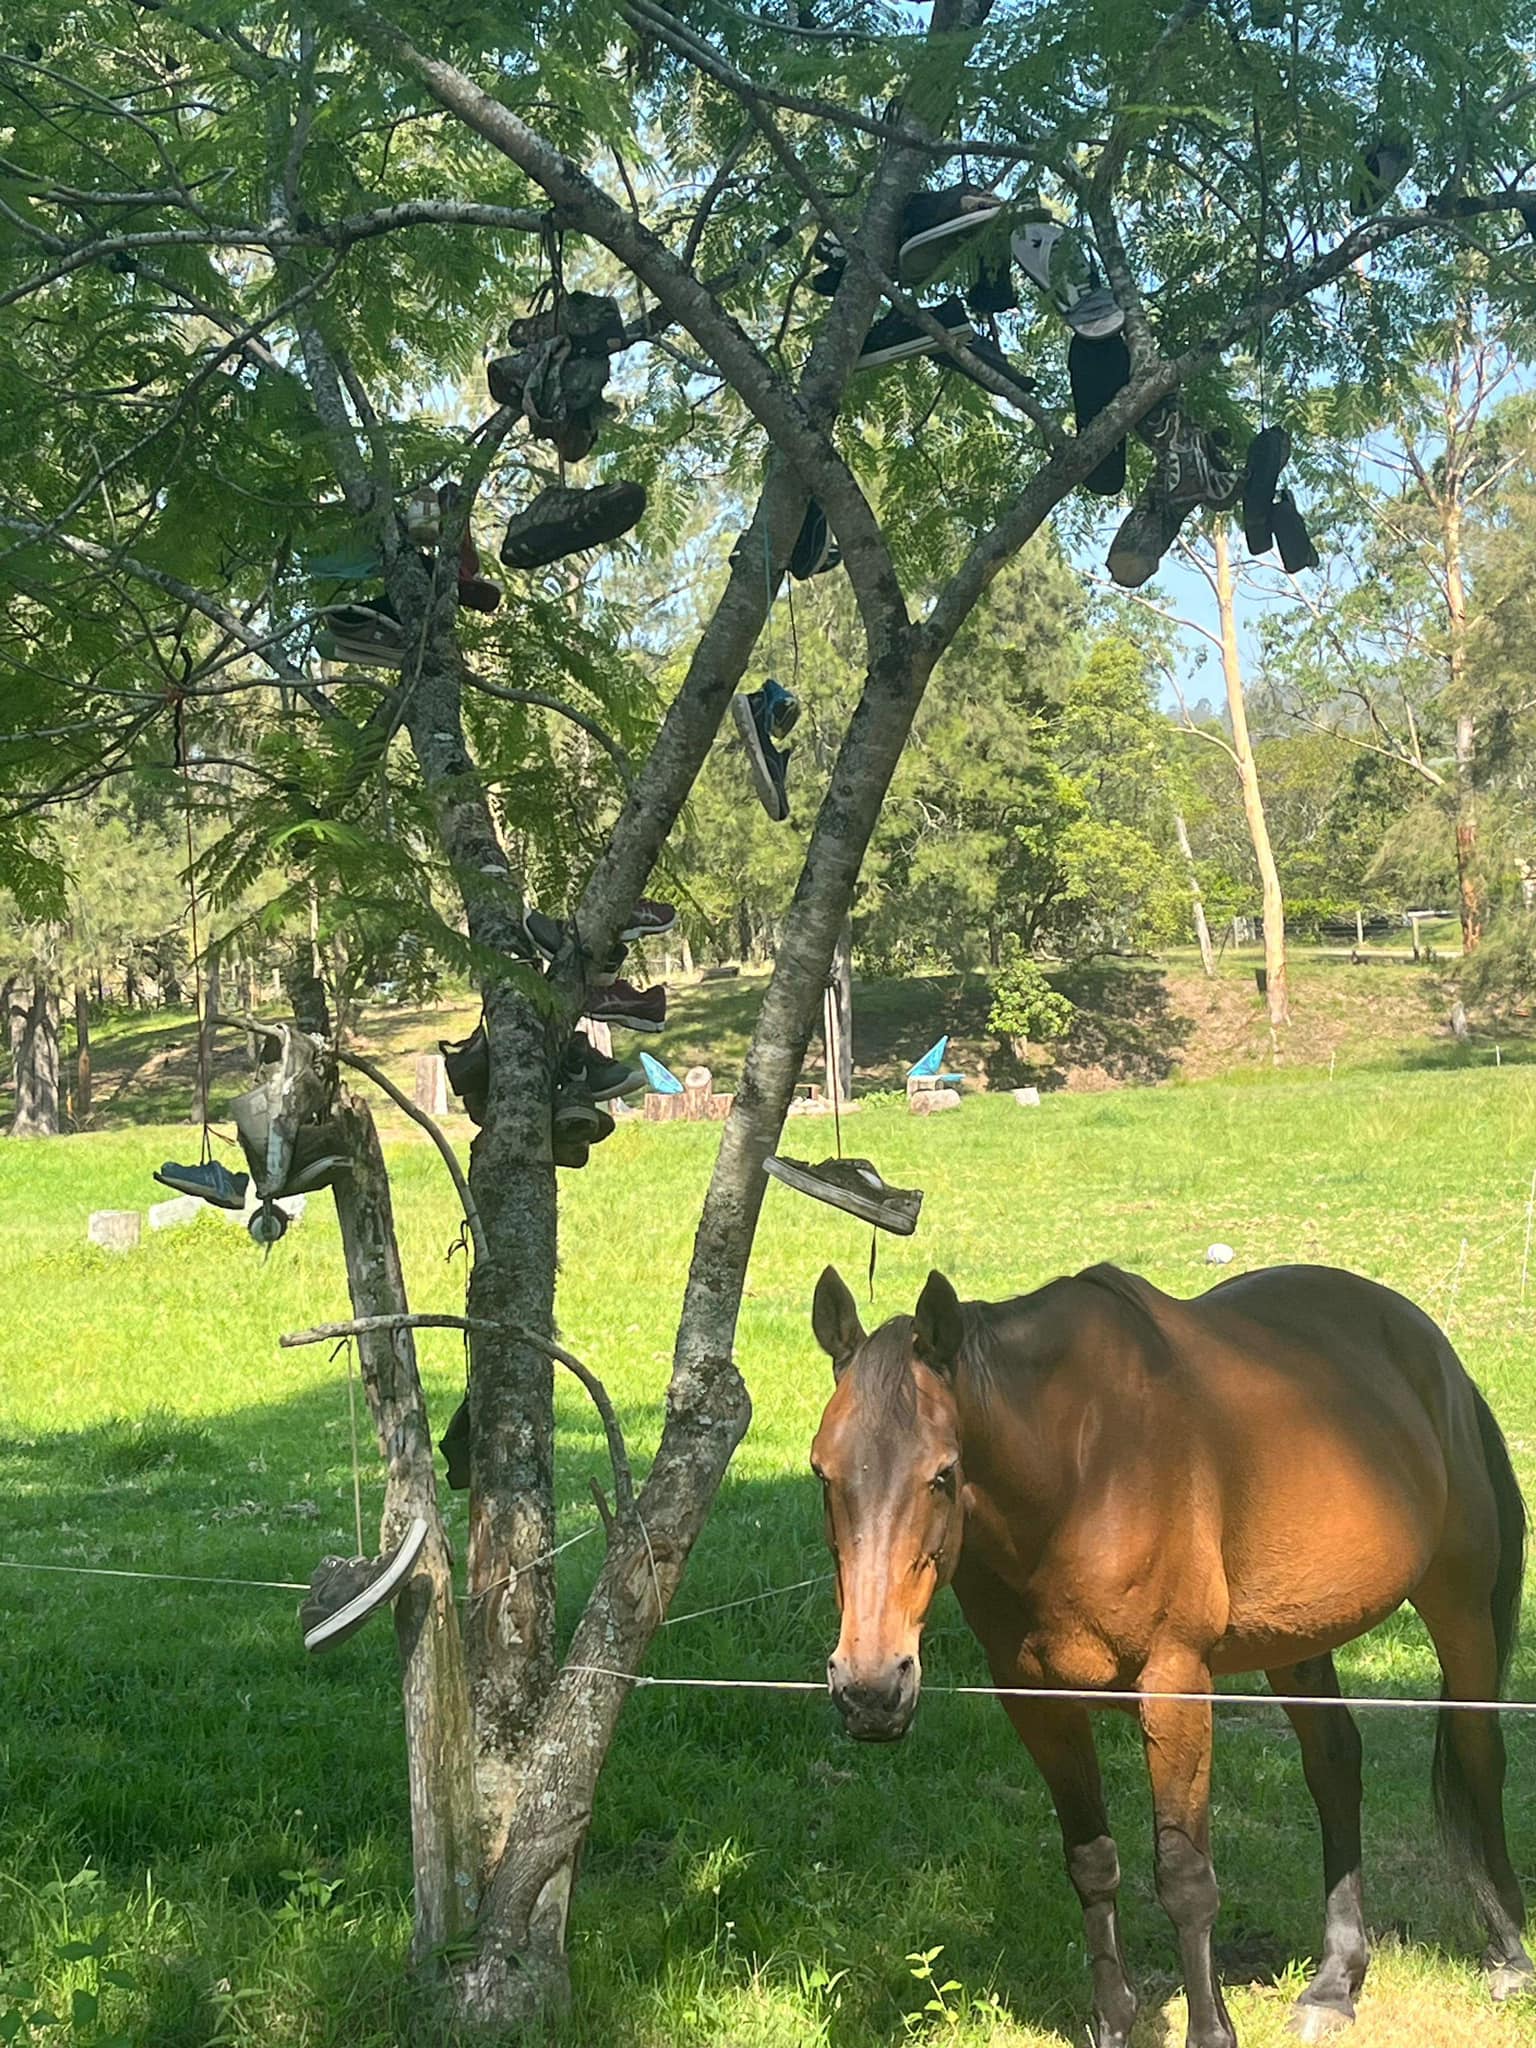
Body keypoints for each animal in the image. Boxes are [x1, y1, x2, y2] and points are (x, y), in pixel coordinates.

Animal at [811, 1261, 1531, 2048]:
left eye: (942, 1473)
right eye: (822, 1472)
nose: (870, 1688)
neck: (1082, 1471)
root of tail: (1435, 1353)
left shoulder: (1175, 1686)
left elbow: (1185, 1877)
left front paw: (1210, 2030)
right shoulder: (1037, 1701)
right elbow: (1091, 1863)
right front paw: (1115, 2021)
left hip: (1459, 1608)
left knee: (1479, 1756)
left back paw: (1508, 1956)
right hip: (1300, 1639)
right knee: (1336, 1768)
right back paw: (1335, 1982)